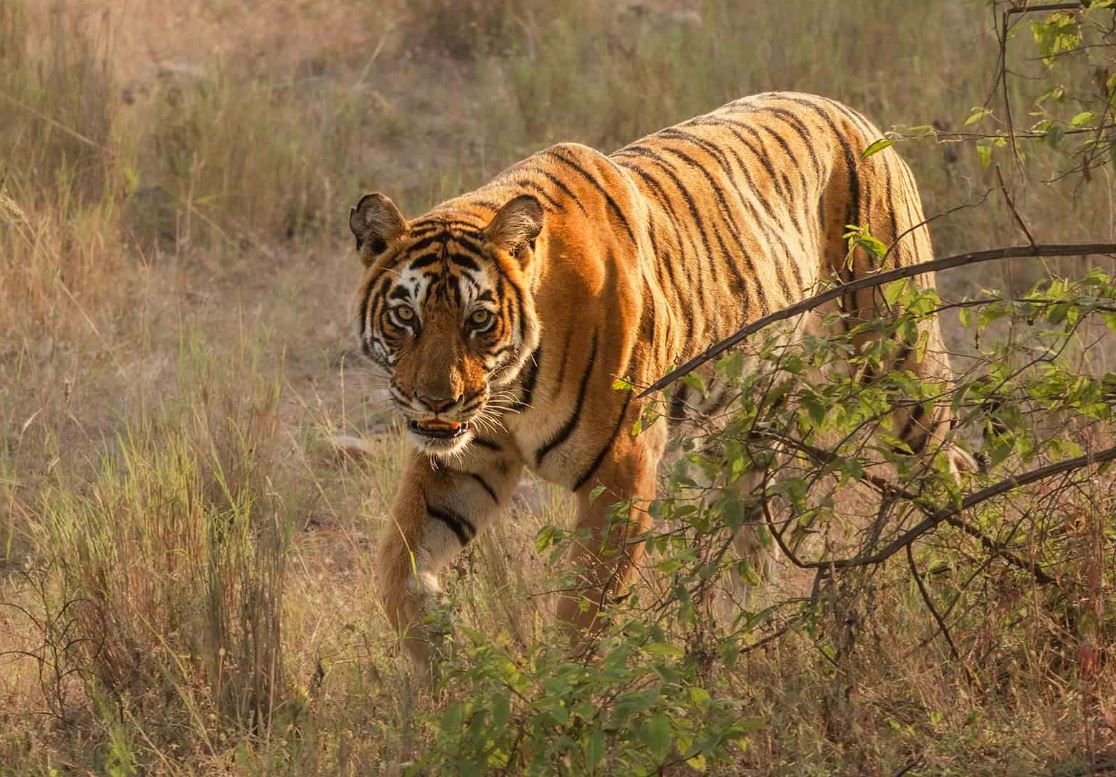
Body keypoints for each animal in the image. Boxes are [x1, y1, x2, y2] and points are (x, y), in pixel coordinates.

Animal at [349, 91, 974, 671]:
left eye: (478, 320)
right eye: (405, 316)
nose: (436, 401)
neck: (510, 389)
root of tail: (845, 107)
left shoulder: (622, 468)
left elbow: (584, 612)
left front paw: (555, 704)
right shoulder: (462, 460)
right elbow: (396, 568)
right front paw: (446, 665)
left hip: (898, 355)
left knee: (945, 463)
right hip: (744, 424)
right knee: (754, 539)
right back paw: (736, 642)